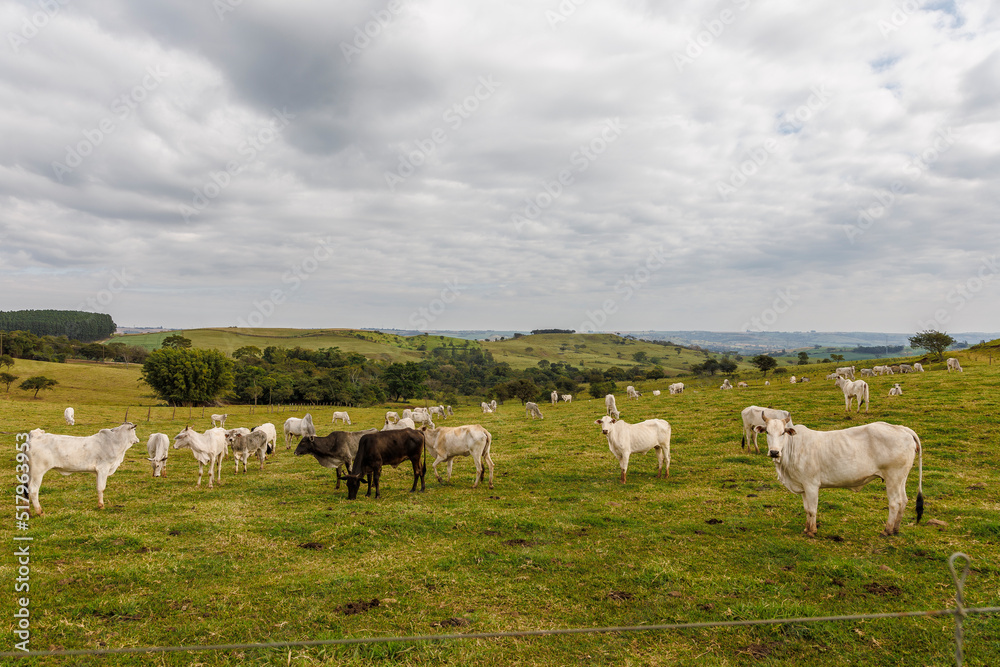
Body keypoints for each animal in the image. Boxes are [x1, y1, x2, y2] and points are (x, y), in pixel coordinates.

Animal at [754, 415, 923, 536]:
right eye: (767, 432)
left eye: (783, 432)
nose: (774, 452)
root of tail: (901, 428)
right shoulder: (802, 486)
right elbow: (807, 509)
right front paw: (807, 528)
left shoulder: (811, 485)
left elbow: (812, 509)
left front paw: (812, 531)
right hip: (901, 478)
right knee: (904, 500)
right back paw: (895, 529)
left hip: (893, 477)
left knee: (895, 502)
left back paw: (887, 530)